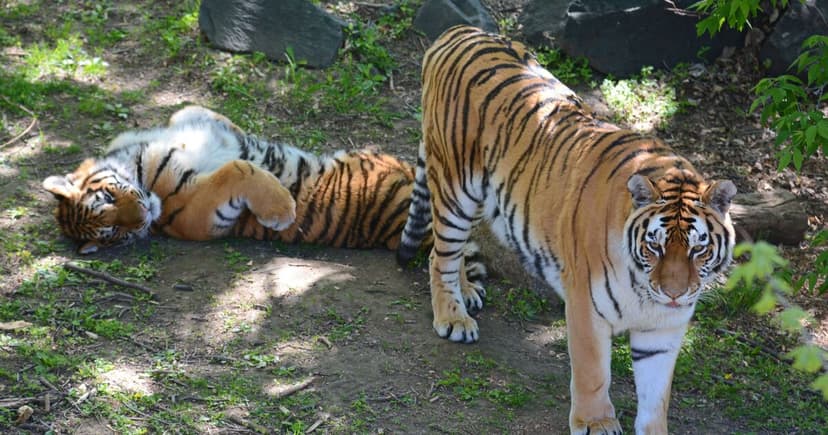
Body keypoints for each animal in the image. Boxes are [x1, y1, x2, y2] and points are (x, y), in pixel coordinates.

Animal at [42, 105, 485, 285]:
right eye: (114, 233)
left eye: (109, 200)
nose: (144, 218)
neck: (137, 160)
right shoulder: (199, 214)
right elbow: (238, 169)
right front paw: (283, 208)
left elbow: (190, 111)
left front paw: (234, 129)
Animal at [396, 26, 737, 435]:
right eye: (654, 246)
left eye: (698, 249)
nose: (674, 293)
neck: (646, 294)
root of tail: (460, 31)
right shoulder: (586, 306)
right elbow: (593, 373)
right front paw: (596, 423)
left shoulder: (664, 331)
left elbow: (656, 399)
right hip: (455, 187)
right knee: (439, 254)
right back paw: (453, 317)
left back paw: (467, 291)